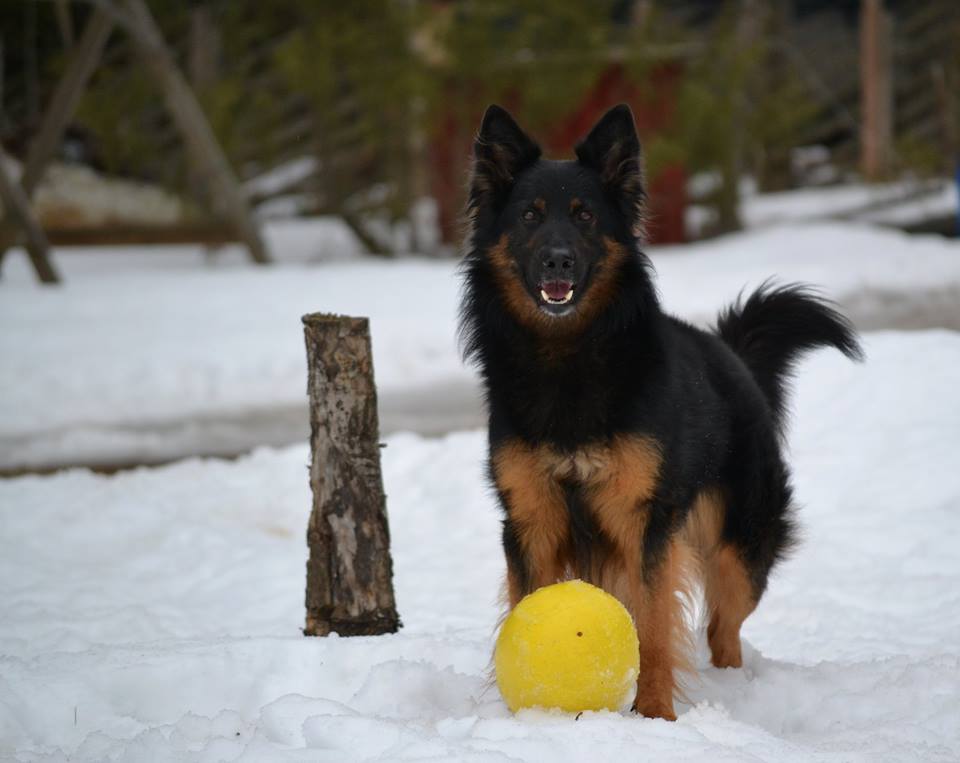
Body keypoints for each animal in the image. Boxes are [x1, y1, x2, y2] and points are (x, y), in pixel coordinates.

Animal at [458, 104, 864, 720]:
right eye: (530, 216)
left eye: (584, 217)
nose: (558, 260)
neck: (570, 358)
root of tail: (733, 356)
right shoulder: (532, 519)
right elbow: (527, 609)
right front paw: (525, 717)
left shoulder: (643, 521)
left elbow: (651, 627)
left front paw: (654, 715)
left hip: (739, 554)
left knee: (724, 628)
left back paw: (731, 687)